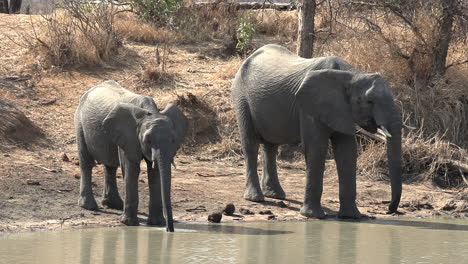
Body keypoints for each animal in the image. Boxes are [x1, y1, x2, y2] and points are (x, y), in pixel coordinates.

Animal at [75, 80, 188, 231]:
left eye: (173, 140)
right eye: (148, 140)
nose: (169, 230)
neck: (151, 113)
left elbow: (154, 172)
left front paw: (157, 223)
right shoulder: (129, 136)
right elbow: (131, 169)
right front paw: (128, 223)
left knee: (110, 165)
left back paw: (114, 205)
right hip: (79, 123)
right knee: (86, 162)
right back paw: (90, 207)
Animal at [231, 44, 402, 219]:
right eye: (369, 101)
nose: (389, 209)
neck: (352, 75)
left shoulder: (343, 110)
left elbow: (347, 152)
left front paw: (351, 217)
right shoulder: (308, 107)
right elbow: (316, 148)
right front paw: (313, 216)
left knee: (271, 145)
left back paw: (276, 195)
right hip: (241, 96)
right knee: (250, 144)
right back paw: (256, 198)